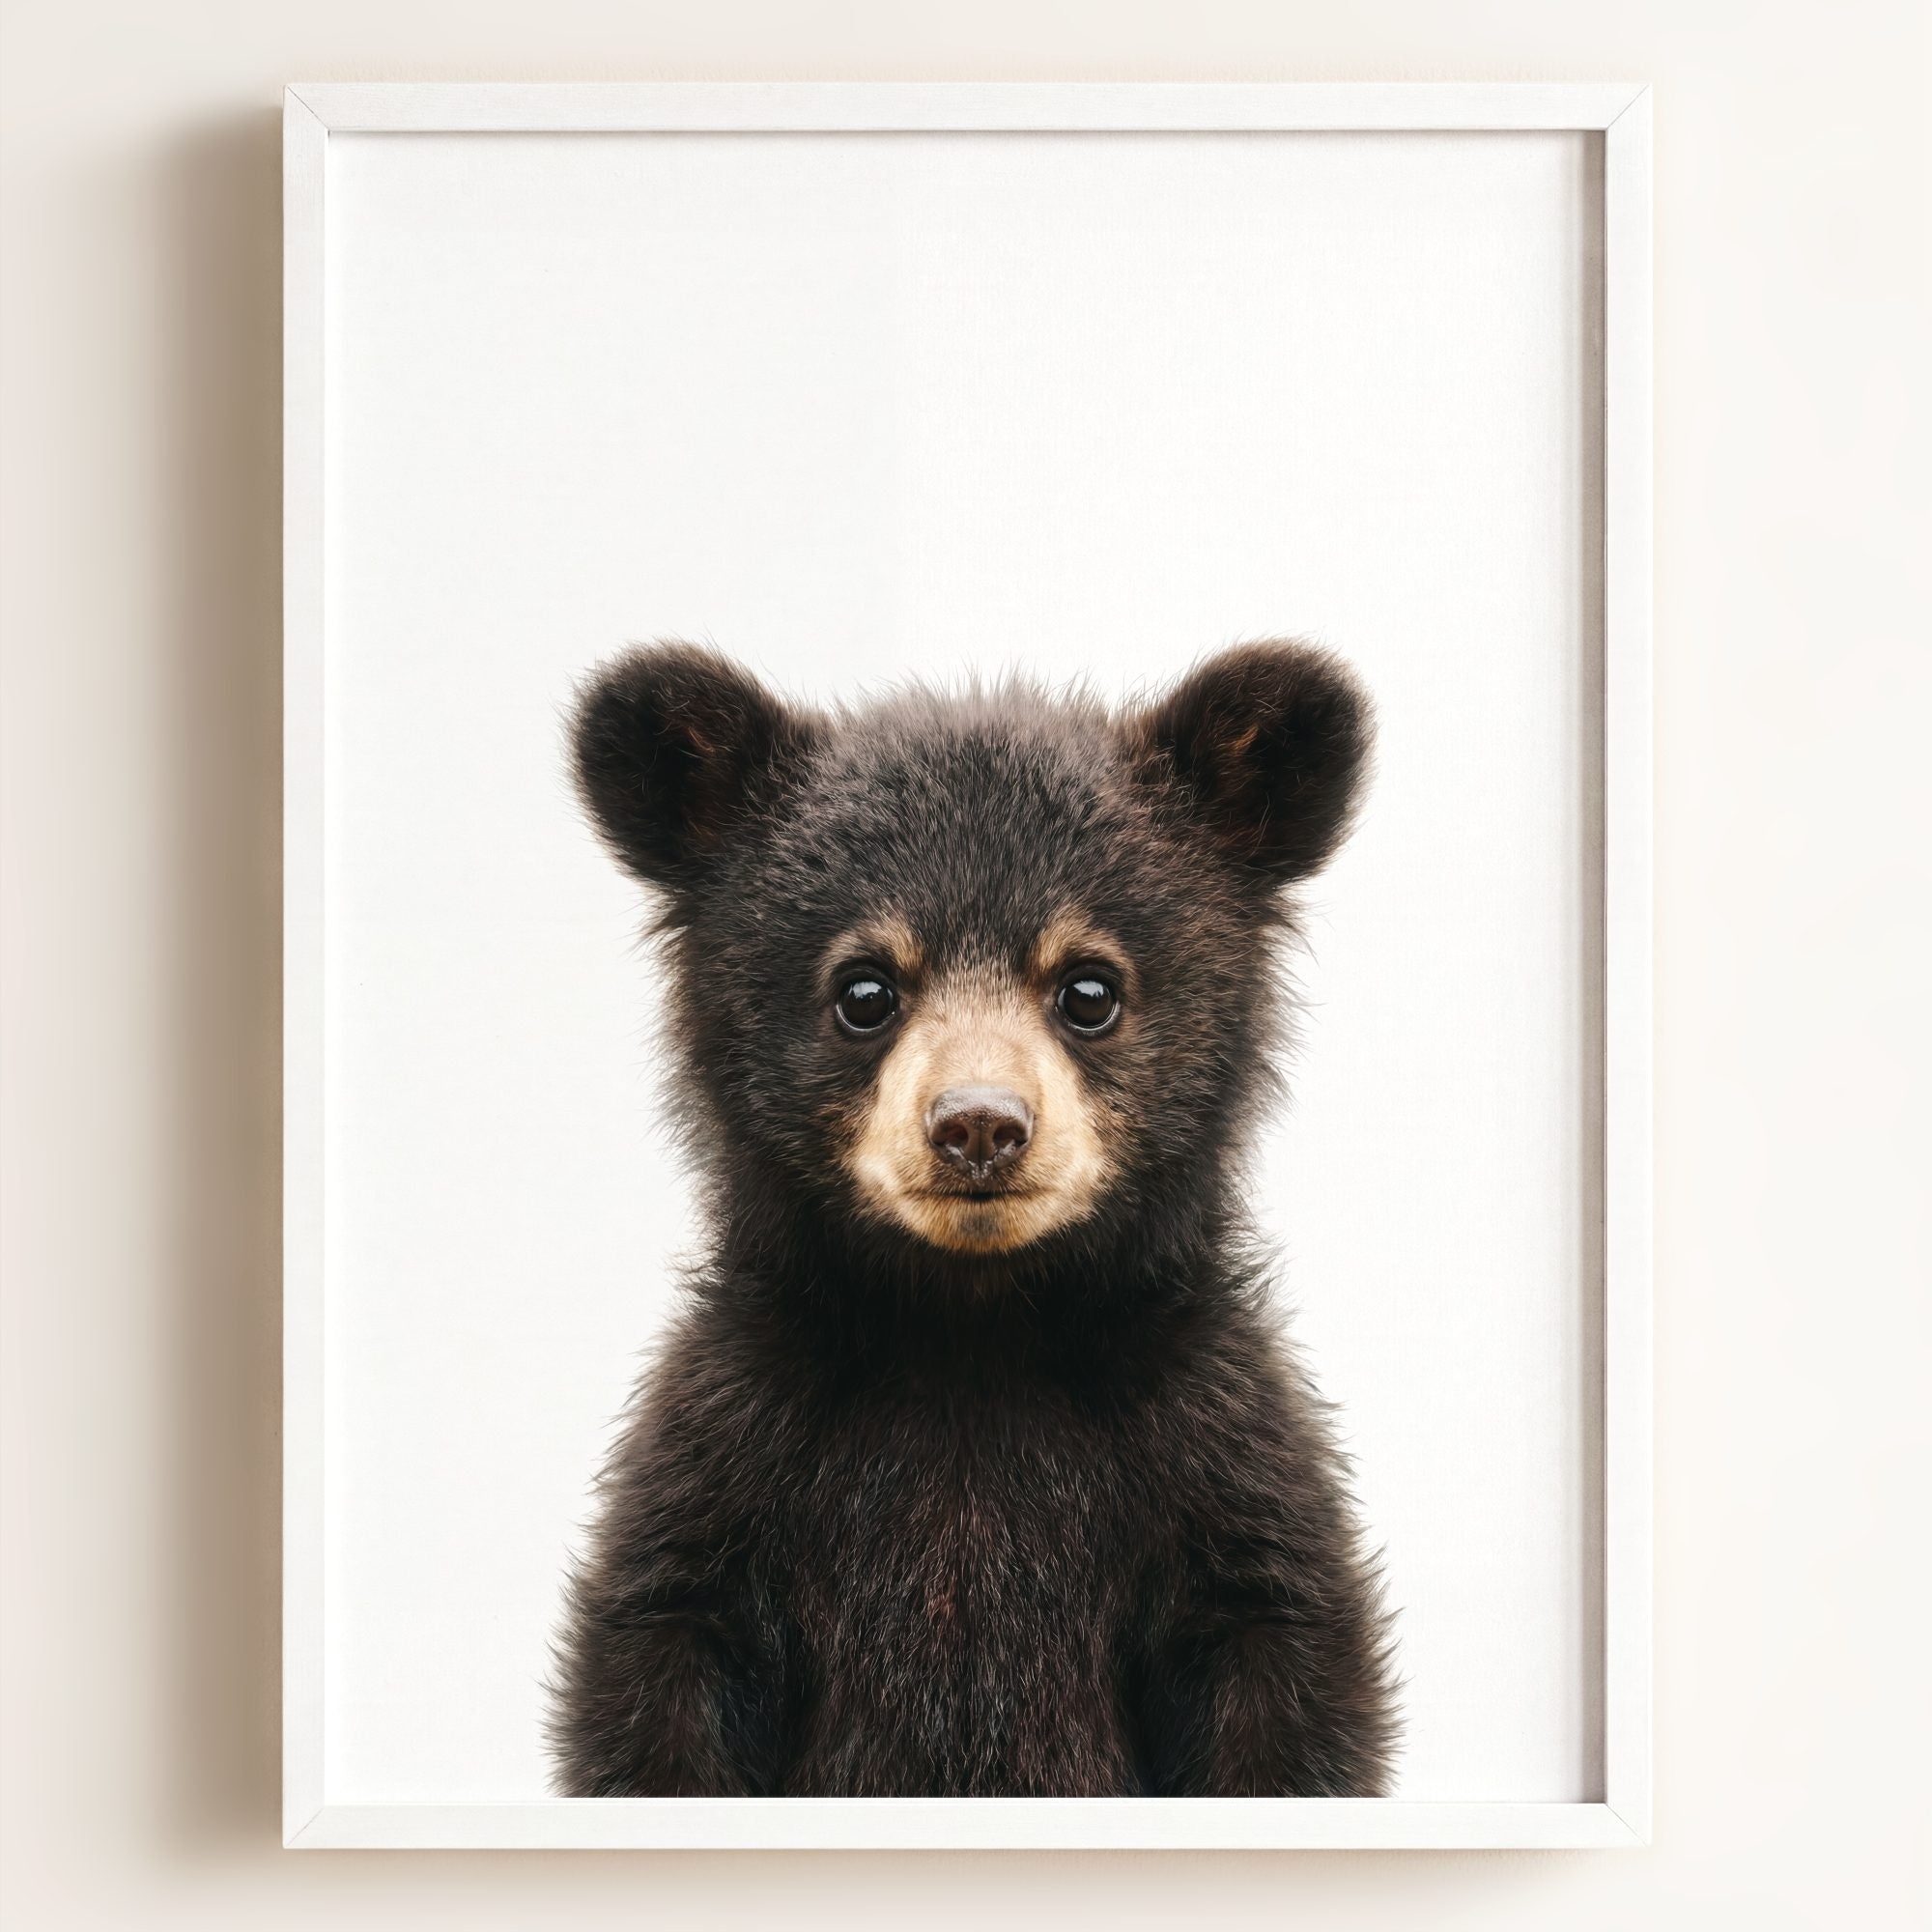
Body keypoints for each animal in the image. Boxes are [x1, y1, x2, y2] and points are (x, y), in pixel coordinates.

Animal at [549, 638, 1397, 1798]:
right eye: (864, 989)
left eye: (1089, 987)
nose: (980, 1126)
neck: (971, 1330)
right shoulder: (727, 1460)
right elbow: (659, 1673)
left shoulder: (1216, 1459)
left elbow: (1282, 1673)